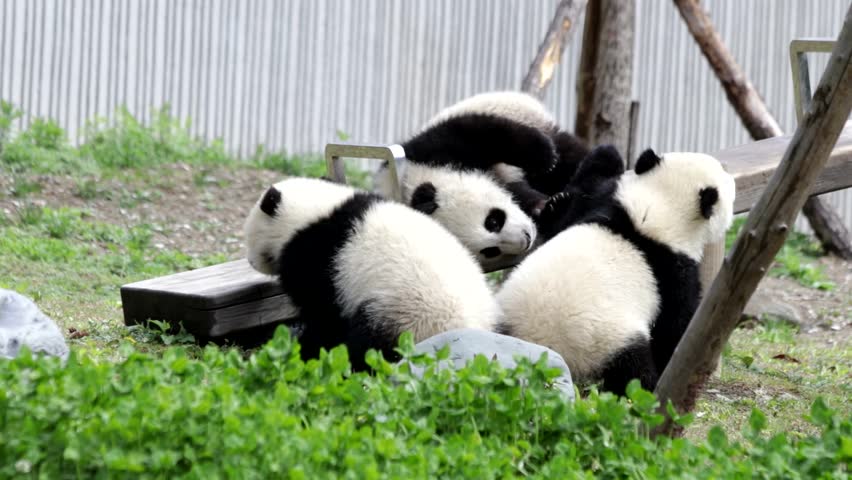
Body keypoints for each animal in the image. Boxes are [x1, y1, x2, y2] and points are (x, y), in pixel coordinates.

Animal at [242, 177, 501, 371]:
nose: (251, 262)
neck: (315, 212)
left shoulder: (319, 258)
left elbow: (324, 315)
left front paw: (305, 348)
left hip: (405, 312)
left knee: (369, 344)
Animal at [495, 145, 735, 395]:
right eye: (728, 184)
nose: (733, 181)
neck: (658, 210)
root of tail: (542, 351)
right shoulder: (671, 271)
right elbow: (674, 326)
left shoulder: (603, 209)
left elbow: (566, 216)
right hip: (607, 342)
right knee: (632, 371)